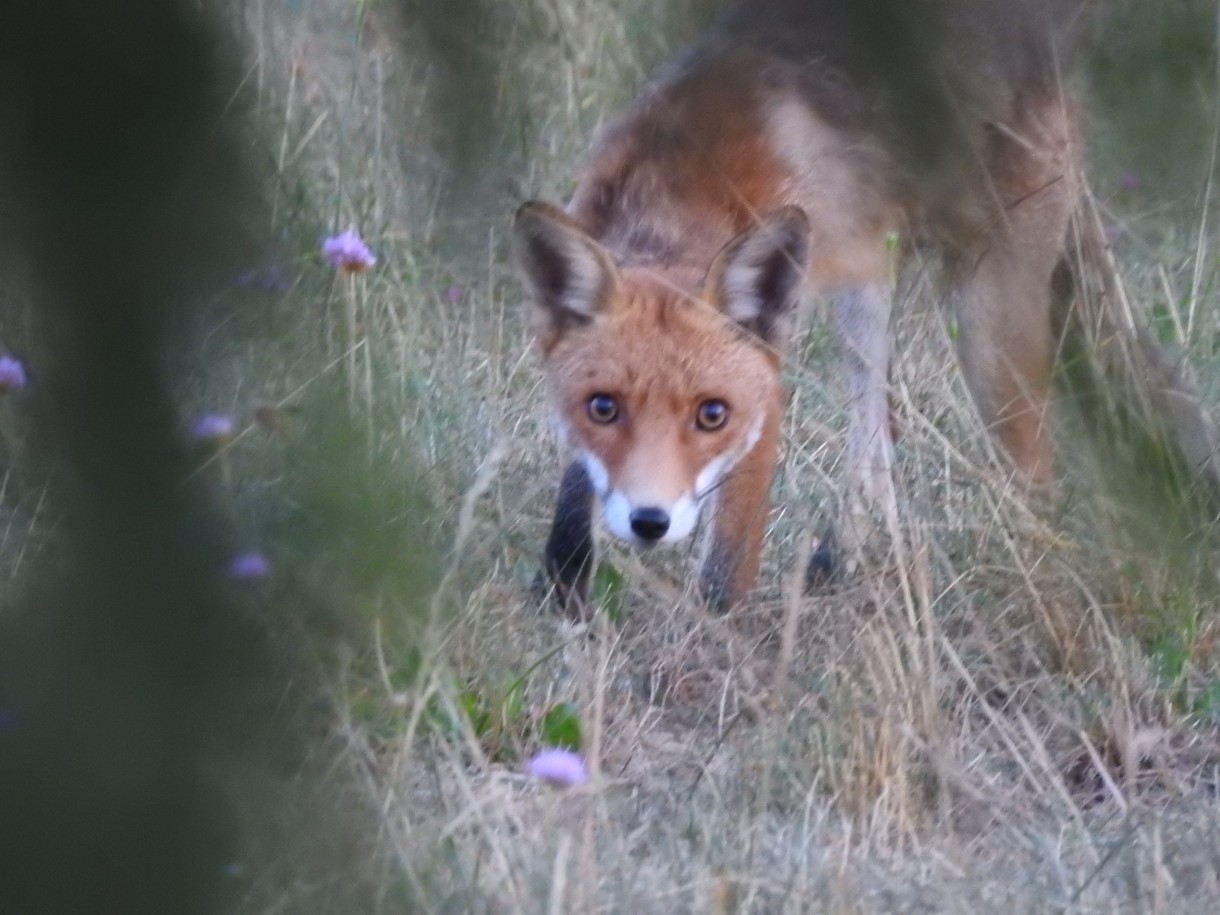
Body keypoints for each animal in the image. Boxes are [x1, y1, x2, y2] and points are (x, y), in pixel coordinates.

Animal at [512, 1, 1220, 617]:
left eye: (713, 415)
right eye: (603, 407)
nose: (649, 523)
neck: (675, 188)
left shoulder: (766, 377)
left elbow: (727, 564)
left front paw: (714, 653)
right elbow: (575, 494)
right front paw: (564, 594)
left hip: (987, 337)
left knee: (1033, 476)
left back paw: (1036, 582)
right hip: (868, 296)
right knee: (878, 435)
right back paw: (847, 558)